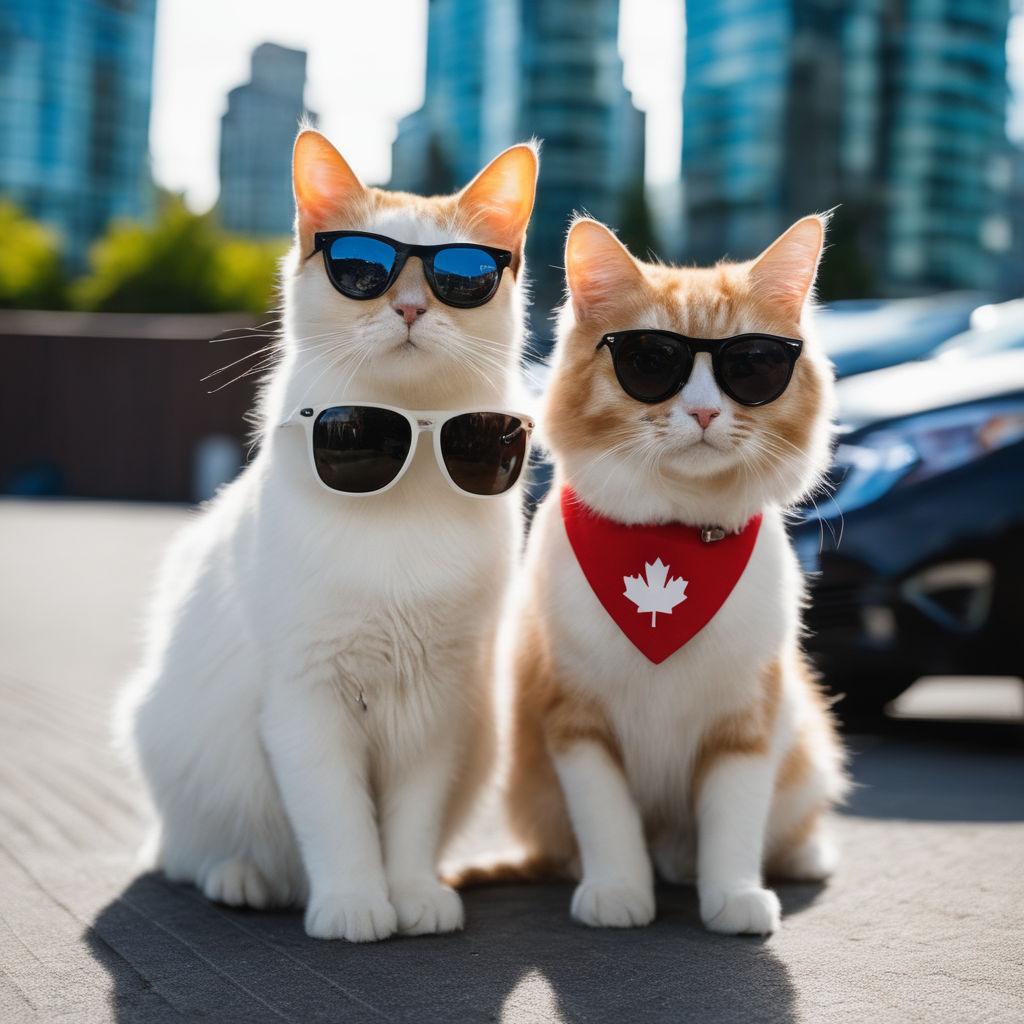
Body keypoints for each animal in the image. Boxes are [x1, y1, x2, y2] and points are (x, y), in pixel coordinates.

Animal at [117, 132, 540, 937]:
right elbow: (340, 821)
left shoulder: (435, 705)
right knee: (191, 854)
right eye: (364, 272)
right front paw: (353, 904)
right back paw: (244, 879)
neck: (402, 451)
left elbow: (408, 825)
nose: (409, 306)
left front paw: (411, 896)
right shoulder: (307, 703)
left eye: (459, 277)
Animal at [503, 216, 847, 937]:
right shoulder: (574, 722)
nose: (705, 412)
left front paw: (735, 896)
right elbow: (607, 820)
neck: (674, 535)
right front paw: (617, 891)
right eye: (651, 362)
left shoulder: (748, 722)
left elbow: (735, 822)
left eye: (751, 366)